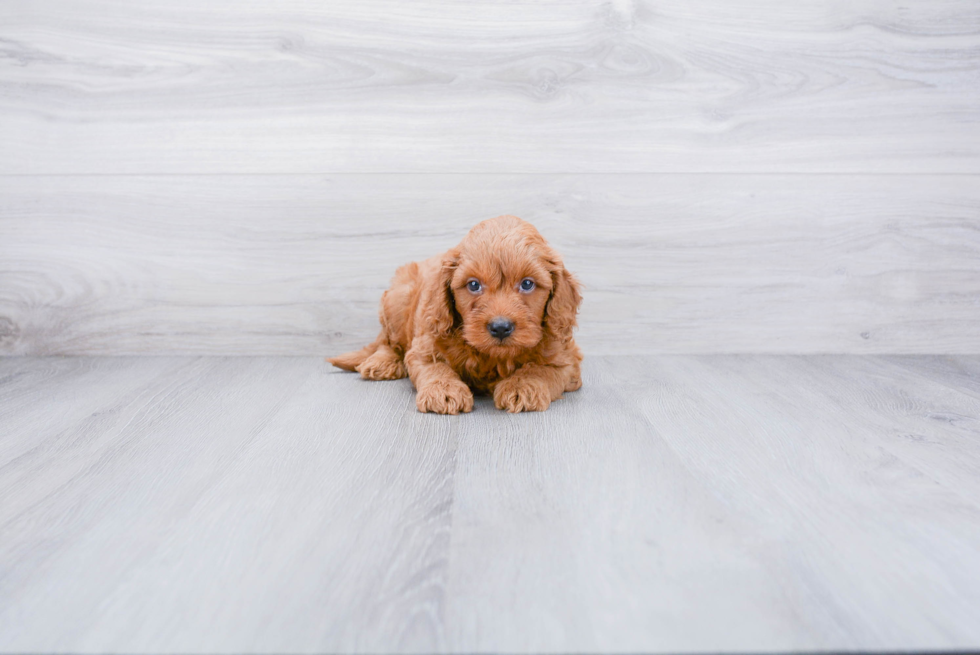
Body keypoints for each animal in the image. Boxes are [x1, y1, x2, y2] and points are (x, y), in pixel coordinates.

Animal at [328, 217, 580, 416]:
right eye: (474, 285)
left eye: (527, 284)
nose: (500, 327)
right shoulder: (425, 345)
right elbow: (435, 368)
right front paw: (444, 391)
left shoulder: (566, 357)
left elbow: (542, 369)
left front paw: (522, 386)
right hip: (399, 298)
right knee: (388, 342)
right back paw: (382, 362)